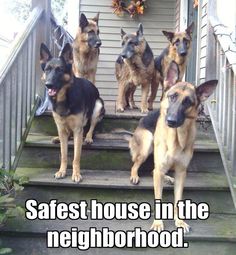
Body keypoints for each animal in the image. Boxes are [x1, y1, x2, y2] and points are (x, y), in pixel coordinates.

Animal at [40, 42, 104, 182]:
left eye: (60, 69)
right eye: (47, 69)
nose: (48, 85)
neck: (64, 98)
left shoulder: (78, 131)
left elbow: (76, 156)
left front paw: (76, 174)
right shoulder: (61, 128)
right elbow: (64, 154)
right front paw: (61, 171)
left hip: (98, 106)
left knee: (91, 126)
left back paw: (89, 137)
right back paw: (57, 138)